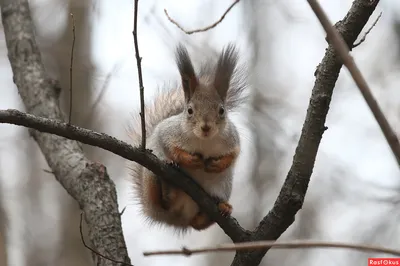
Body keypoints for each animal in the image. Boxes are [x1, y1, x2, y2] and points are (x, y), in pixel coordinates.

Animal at [129, 42, 247, 232]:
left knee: (198, 223)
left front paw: (218, 164)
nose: (206, 127)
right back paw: (168, 187)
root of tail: (178, 218)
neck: (204, 141)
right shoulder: (167, 132)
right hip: (151, 176)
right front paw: (191, 160)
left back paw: (223, 207)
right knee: (164, 201)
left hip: (222, 187)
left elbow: (234, 154)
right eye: (190, 110)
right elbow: (170, 147)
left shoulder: (232, 138)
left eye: (222, 110)